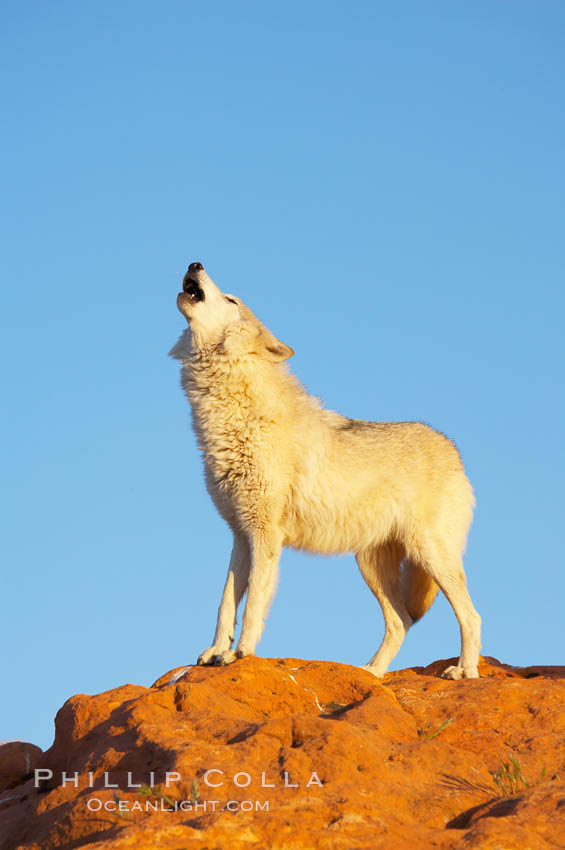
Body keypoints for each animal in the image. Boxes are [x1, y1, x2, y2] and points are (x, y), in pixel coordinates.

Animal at [169, 262, 480, 680]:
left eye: (231, 299)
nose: (195, 264)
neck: (235, 417)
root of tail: (453, 451)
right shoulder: (240, 534)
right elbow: (225, 604)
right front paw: (216, 651)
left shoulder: (265, 535)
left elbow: (253, 604)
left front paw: (242, 653)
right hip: (371, 566)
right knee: (400, 621)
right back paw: (370, 674)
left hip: (429, 555)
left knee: (471, 615)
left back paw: (465, 671)